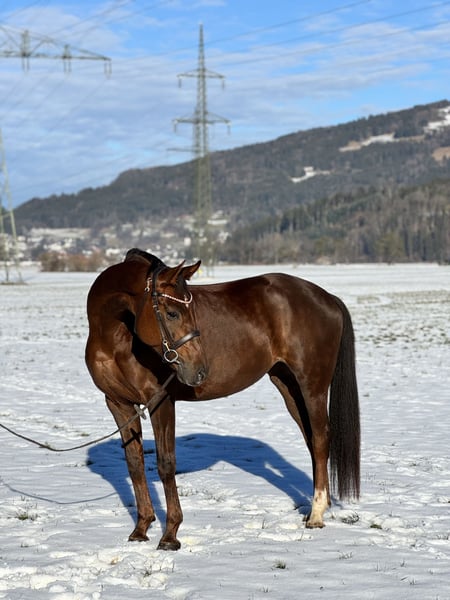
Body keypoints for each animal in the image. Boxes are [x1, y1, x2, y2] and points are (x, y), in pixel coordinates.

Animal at [85, 248, 360, 551]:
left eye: (188, 311)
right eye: (172, 312)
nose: (198, 370)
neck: (115, 335)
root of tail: (327, 297)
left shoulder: (161, 401)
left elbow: (166, 463)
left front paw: (170, 535)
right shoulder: (118, 404)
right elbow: (135, 464)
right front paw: (141, 528)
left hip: (312, 386)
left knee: (321, 439)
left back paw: (317, 515)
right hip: (289, 386)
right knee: (312, 441)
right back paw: (316, 508)